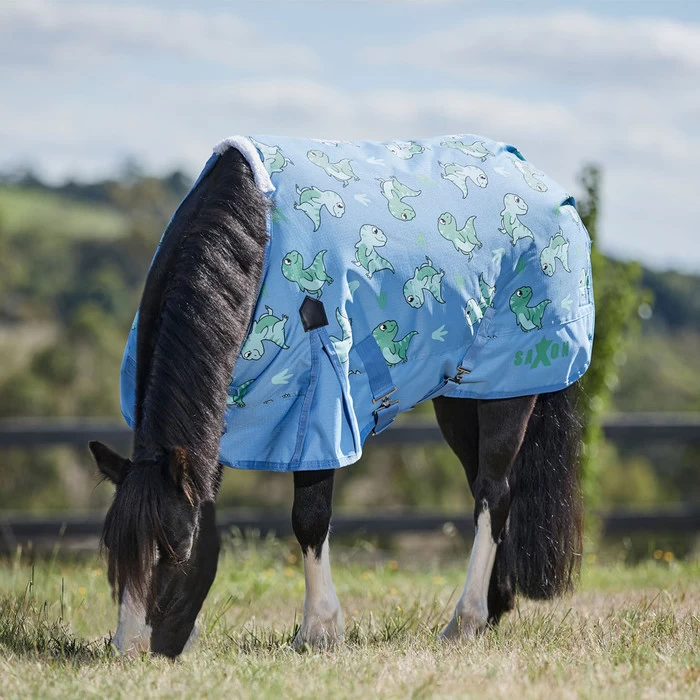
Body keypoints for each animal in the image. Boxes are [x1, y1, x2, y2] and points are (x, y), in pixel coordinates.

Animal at [89, 134, 592, 657]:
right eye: (116, 557)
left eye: (178, 551)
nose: (128, 652)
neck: (256, 238)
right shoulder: (226, 416)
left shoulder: (319, 406)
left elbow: (309, 518)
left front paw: (318, 631)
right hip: (460, 396)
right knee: (486, 489)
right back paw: (492, 610)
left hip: (509, 391)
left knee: (494, 492)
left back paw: (465, 620)